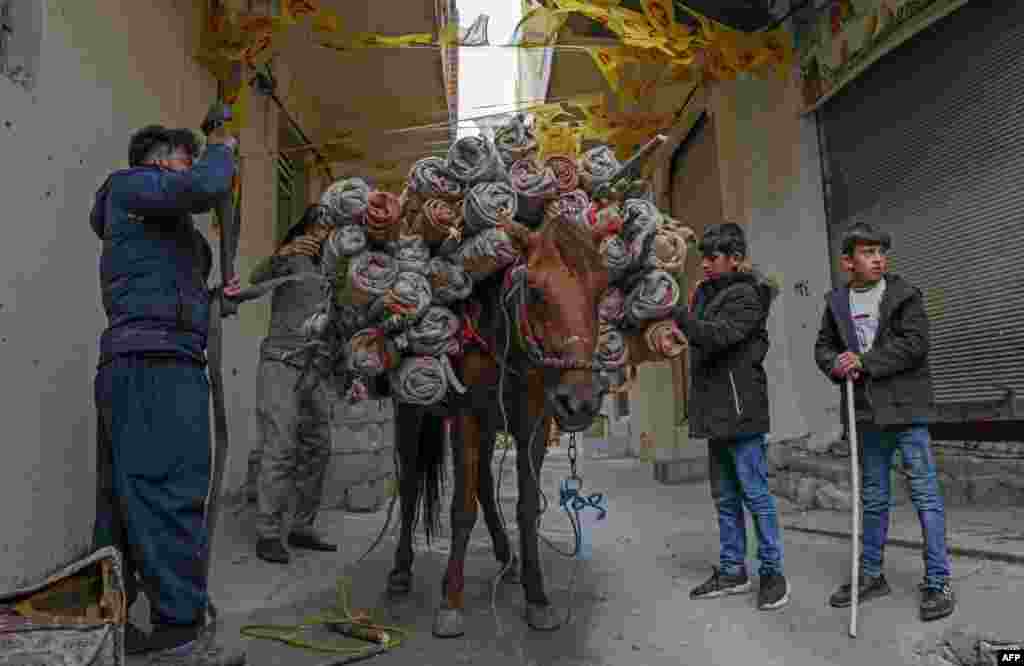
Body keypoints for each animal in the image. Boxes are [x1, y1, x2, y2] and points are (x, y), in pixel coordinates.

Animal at [382, 214, 606, 639]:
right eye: (534, 290)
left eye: (600, 292)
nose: (580, 401)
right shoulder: (465, 417)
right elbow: (460, 509)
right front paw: (450, 603)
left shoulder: (533, 424)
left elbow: (527, 508)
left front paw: (538, 599)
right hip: (411, 413)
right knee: (410, 485)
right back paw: (400, 570)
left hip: (489, 426)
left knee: (485, 482)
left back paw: (507, 556)